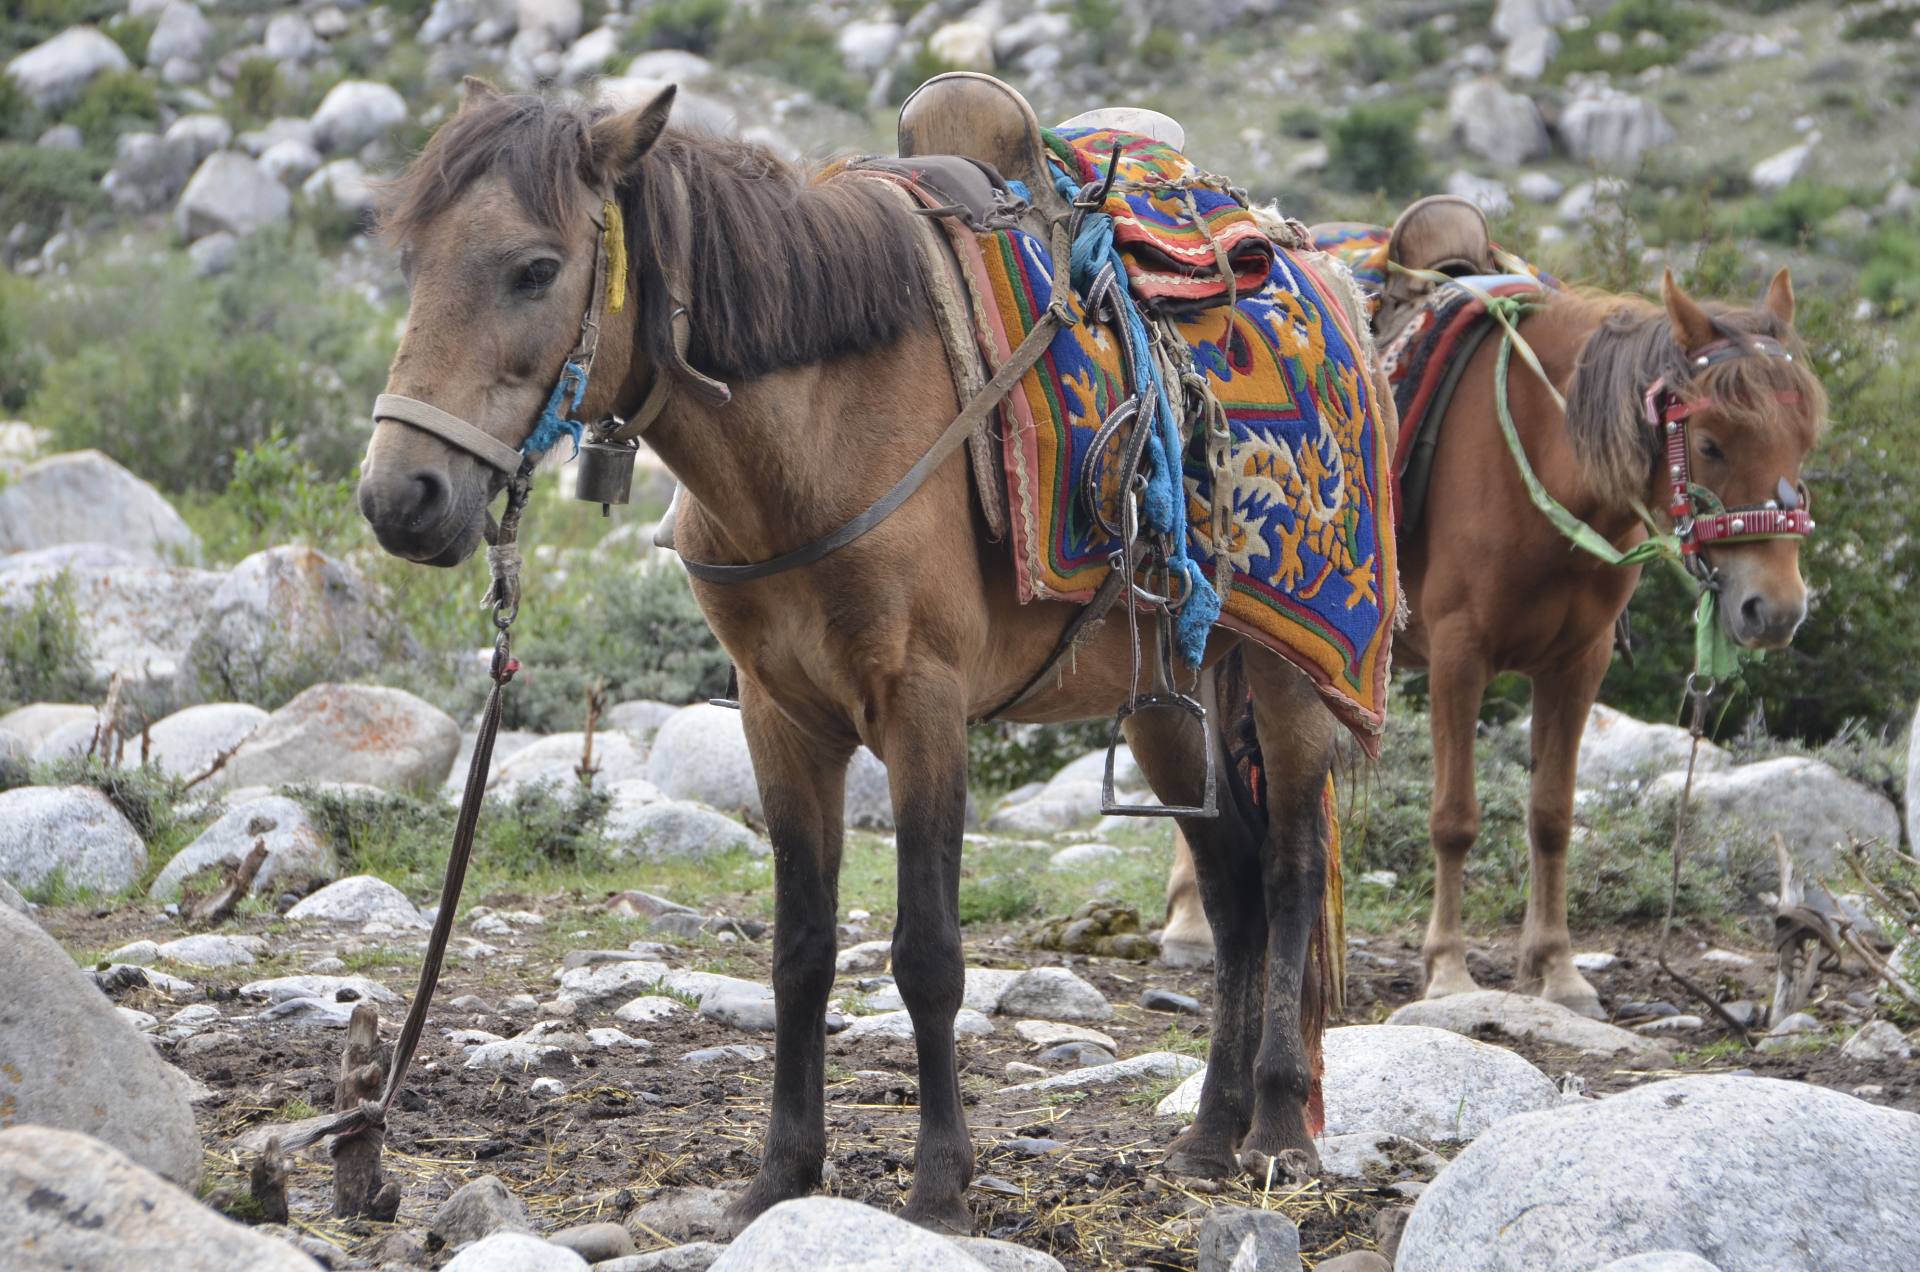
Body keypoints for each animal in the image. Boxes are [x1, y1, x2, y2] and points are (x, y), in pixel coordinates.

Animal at [353, 82, 1397, 1237]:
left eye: (535, 268)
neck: (821, 433)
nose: (400, 497)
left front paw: (940, 1184)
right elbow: (800, 953)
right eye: (413, 262)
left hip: (1292, 680)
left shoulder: (921, 707)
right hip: (1166, 705)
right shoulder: (780, 718)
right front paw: (780, 1176)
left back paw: (1276, 1130)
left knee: (1291, 873)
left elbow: (928, 953)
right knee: (1233, 893)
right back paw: (1208, 1139)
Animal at [1159, 199, 1820, 1014]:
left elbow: (1552, 816)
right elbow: (1455, 818)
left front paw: (1557, 969)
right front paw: (1447, 968)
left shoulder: (1580, 663)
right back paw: (1190, 923)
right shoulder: (1459, 655)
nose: (1777, 609)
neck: (1541, 463)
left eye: (1805, 438)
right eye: (1712, 442)